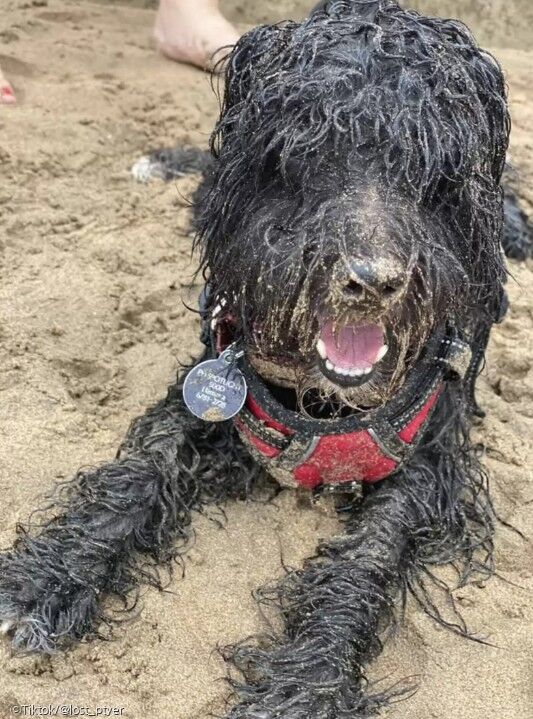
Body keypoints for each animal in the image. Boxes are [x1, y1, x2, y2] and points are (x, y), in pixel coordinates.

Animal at [1, 0, 532, 716]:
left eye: (433, 169)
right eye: (310, 148)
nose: (373, 281)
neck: (328, 400)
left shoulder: (428, 460)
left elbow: (366, 560)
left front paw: (309, 681)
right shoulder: (212, 392)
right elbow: (140, 473)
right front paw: (47, 576)